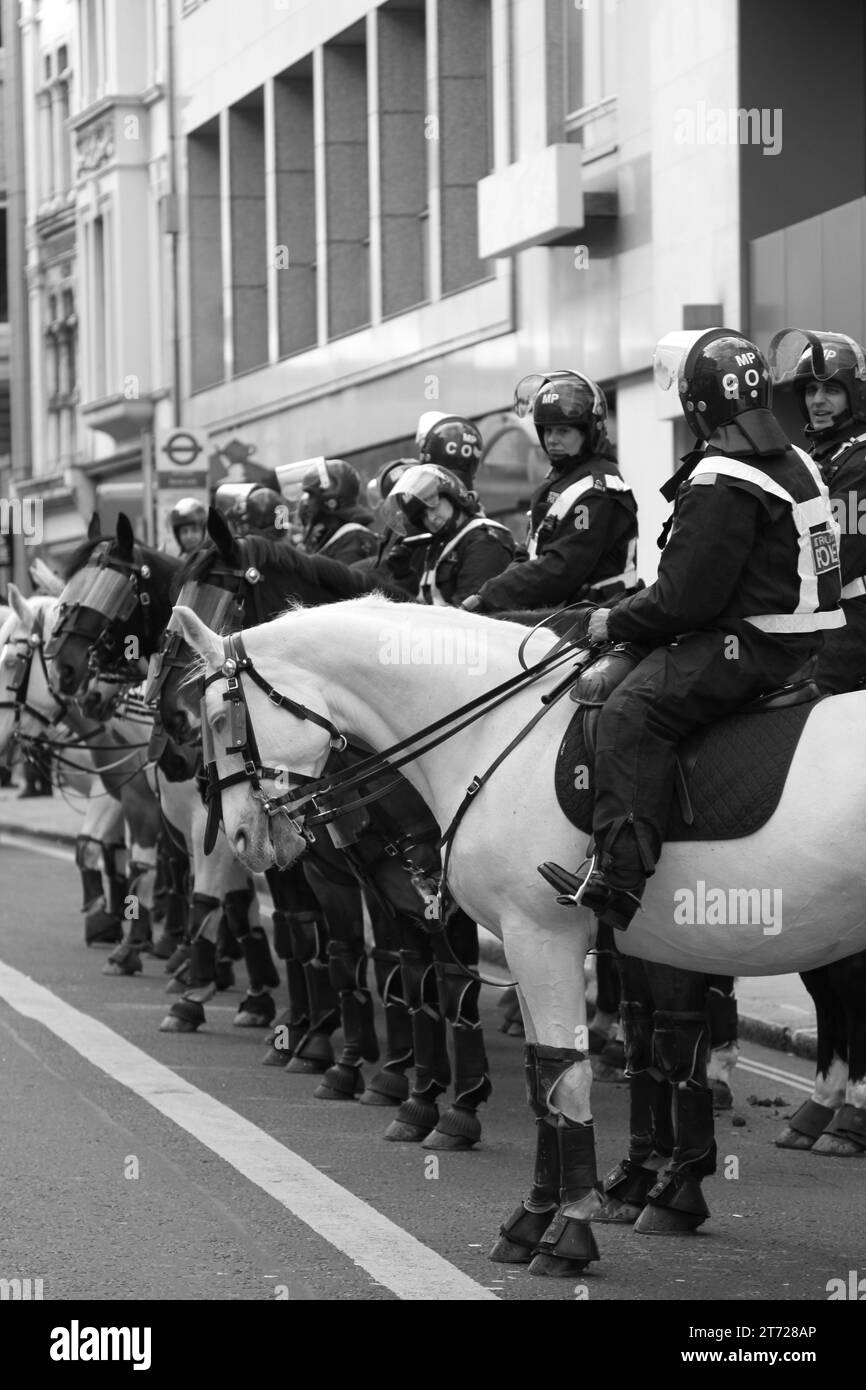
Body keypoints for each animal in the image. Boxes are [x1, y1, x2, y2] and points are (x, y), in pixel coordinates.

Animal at [173, 597, 866, 1273]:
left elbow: (571, 1071)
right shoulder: (529, 939)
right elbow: (544, 1077)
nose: (240, 837)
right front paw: (533, 1220)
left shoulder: (543, 936)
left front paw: (571, 1232)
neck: (496, 733)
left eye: (217, 717)